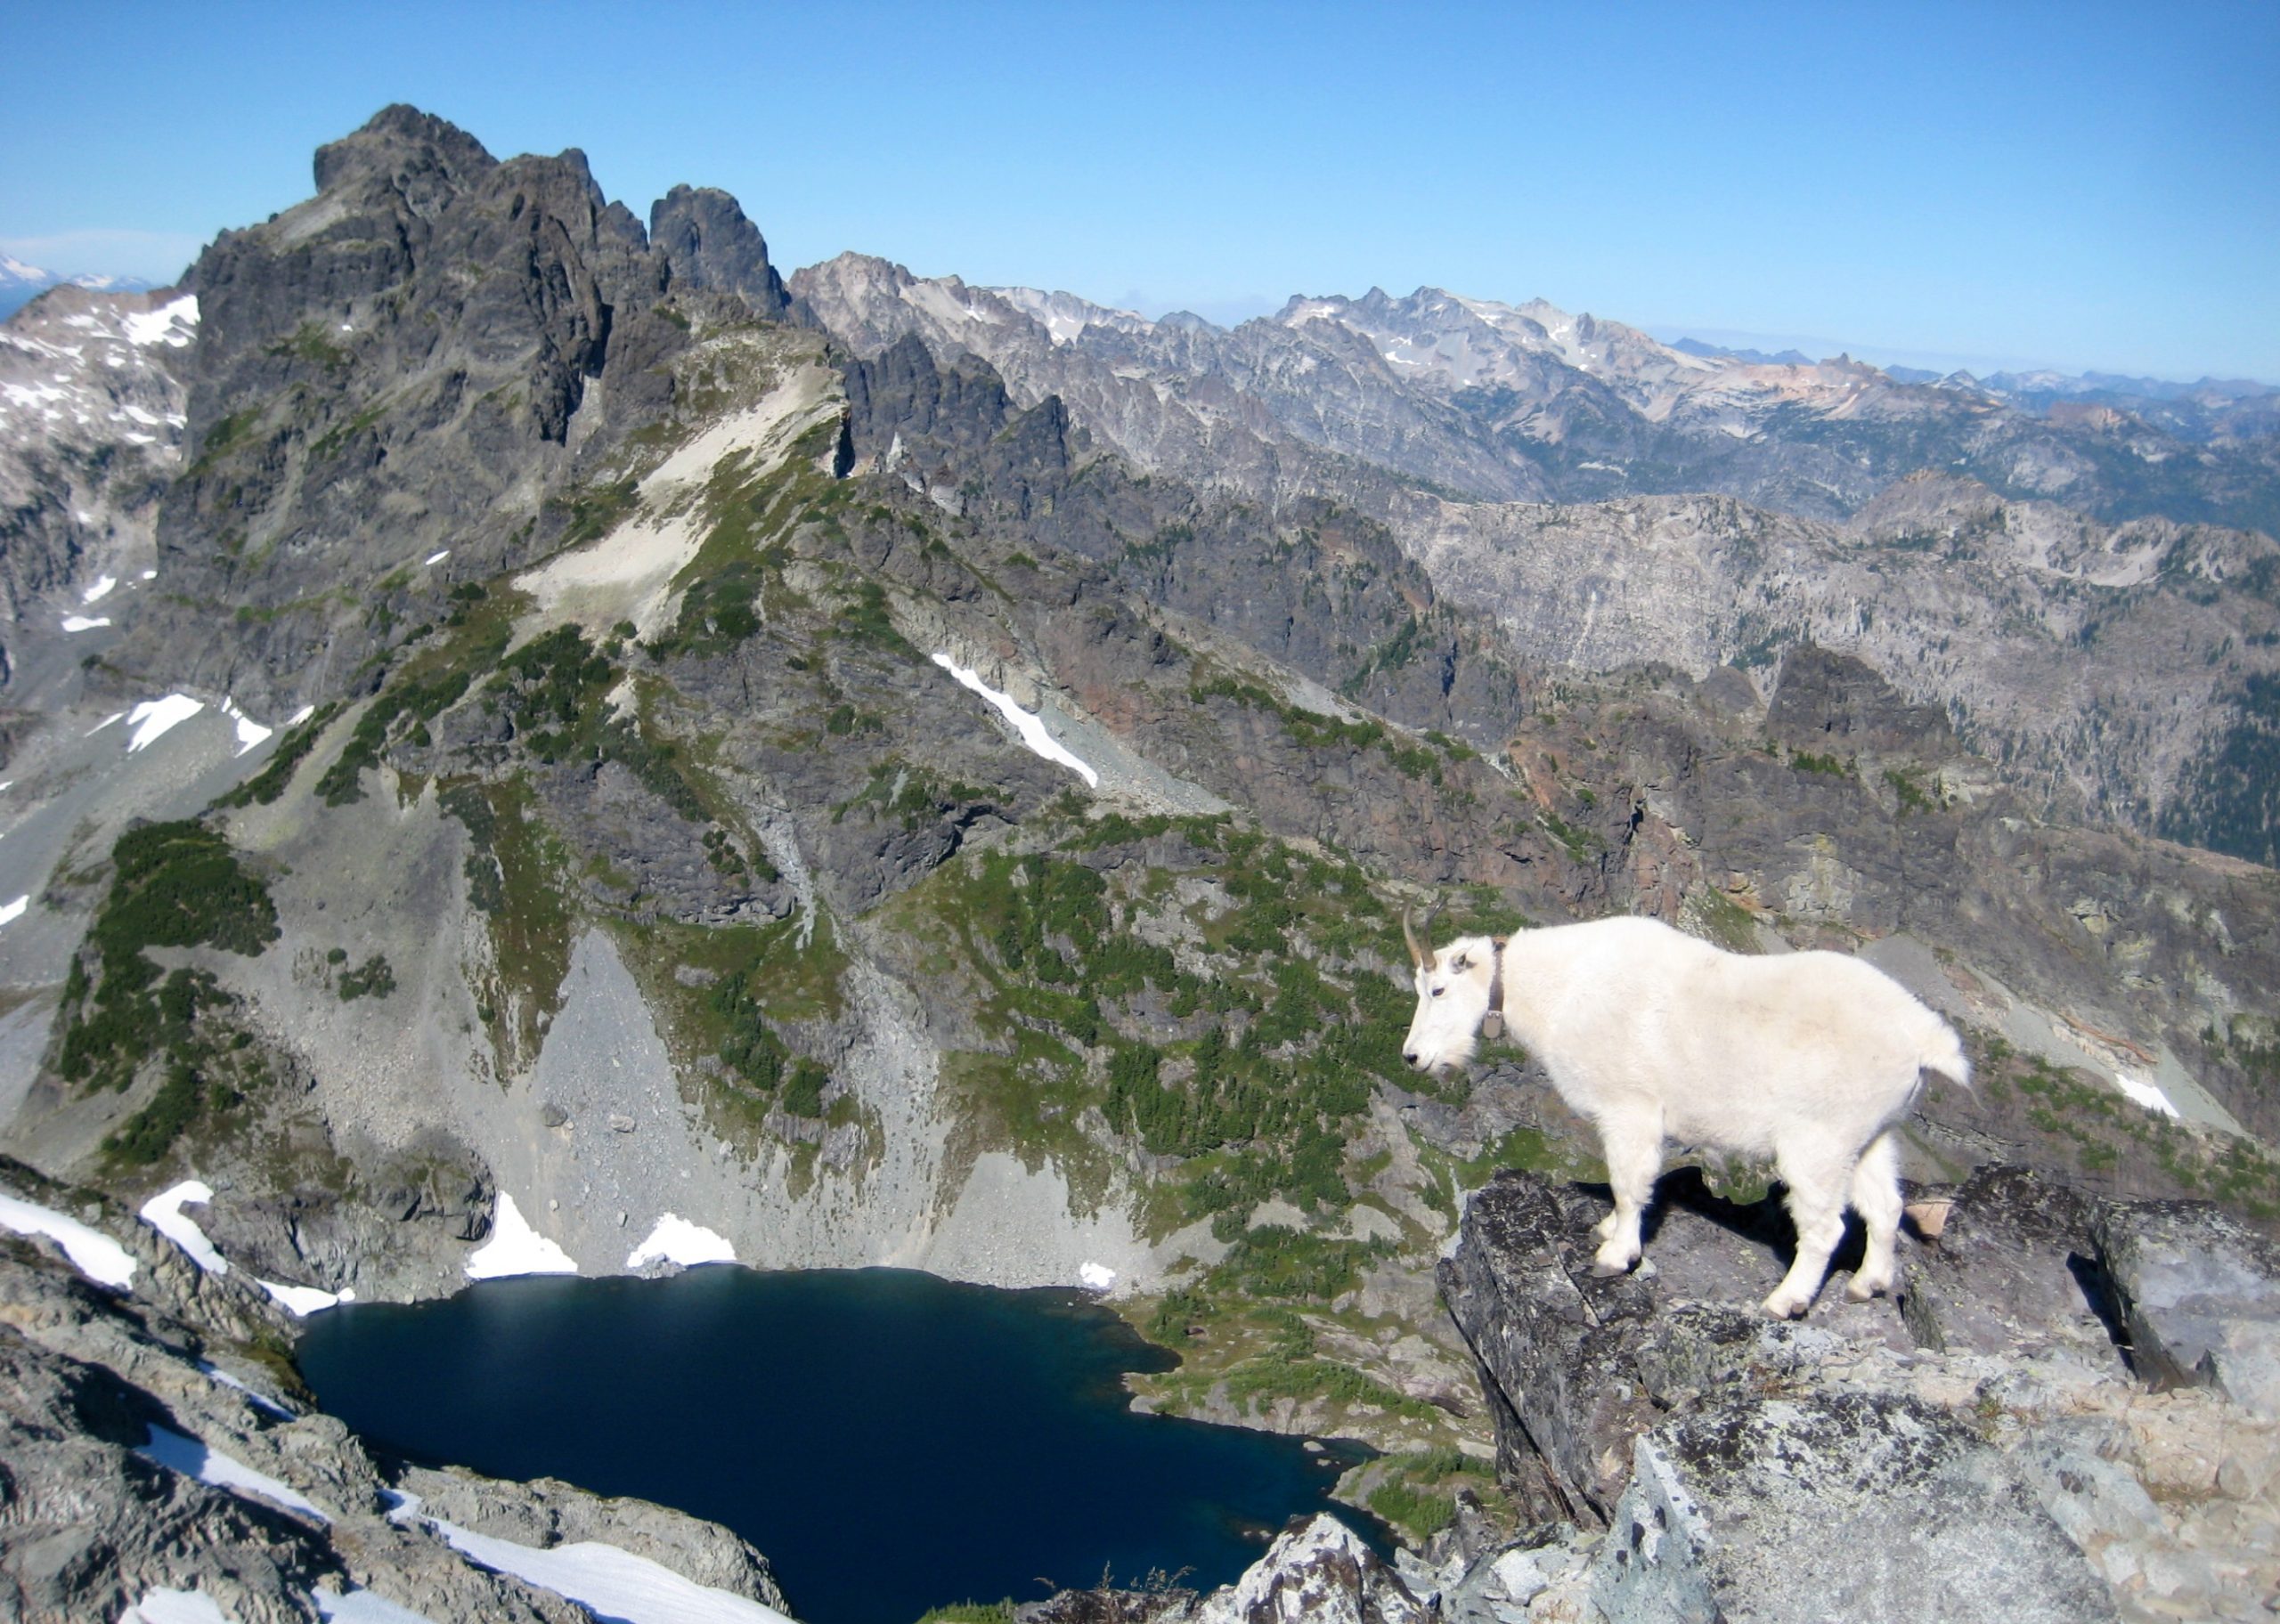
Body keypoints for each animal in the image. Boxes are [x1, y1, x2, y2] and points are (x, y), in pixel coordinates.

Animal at [1401, 910, 1968, 1317]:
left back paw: (1785, 1301)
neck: (1563, 990)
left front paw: (1615, 1257)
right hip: (1872, 1133)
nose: (1413, 1057)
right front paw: (1607, 1230)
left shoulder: (1629, 1108)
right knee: (1886, 1206)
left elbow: (1629, 1184)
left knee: (1825, 1226)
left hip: (1818, 1140)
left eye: (1438, 989)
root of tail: (1923, 1037)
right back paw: (1866, 1285)